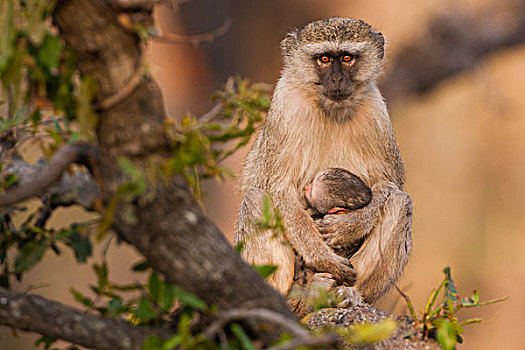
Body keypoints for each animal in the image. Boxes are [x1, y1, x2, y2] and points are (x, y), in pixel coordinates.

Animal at [235, 18, 412, 308]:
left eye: (348, 58)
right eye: (325, 59)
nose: (337, 79)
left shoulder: (377, 113)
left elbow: (389, 185)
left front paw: (350, 226)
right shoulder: (286, 107)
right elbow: (279, 189)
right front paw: (323, 257)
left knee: (401, 202)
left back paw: (346, 293)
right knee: (255, 198)